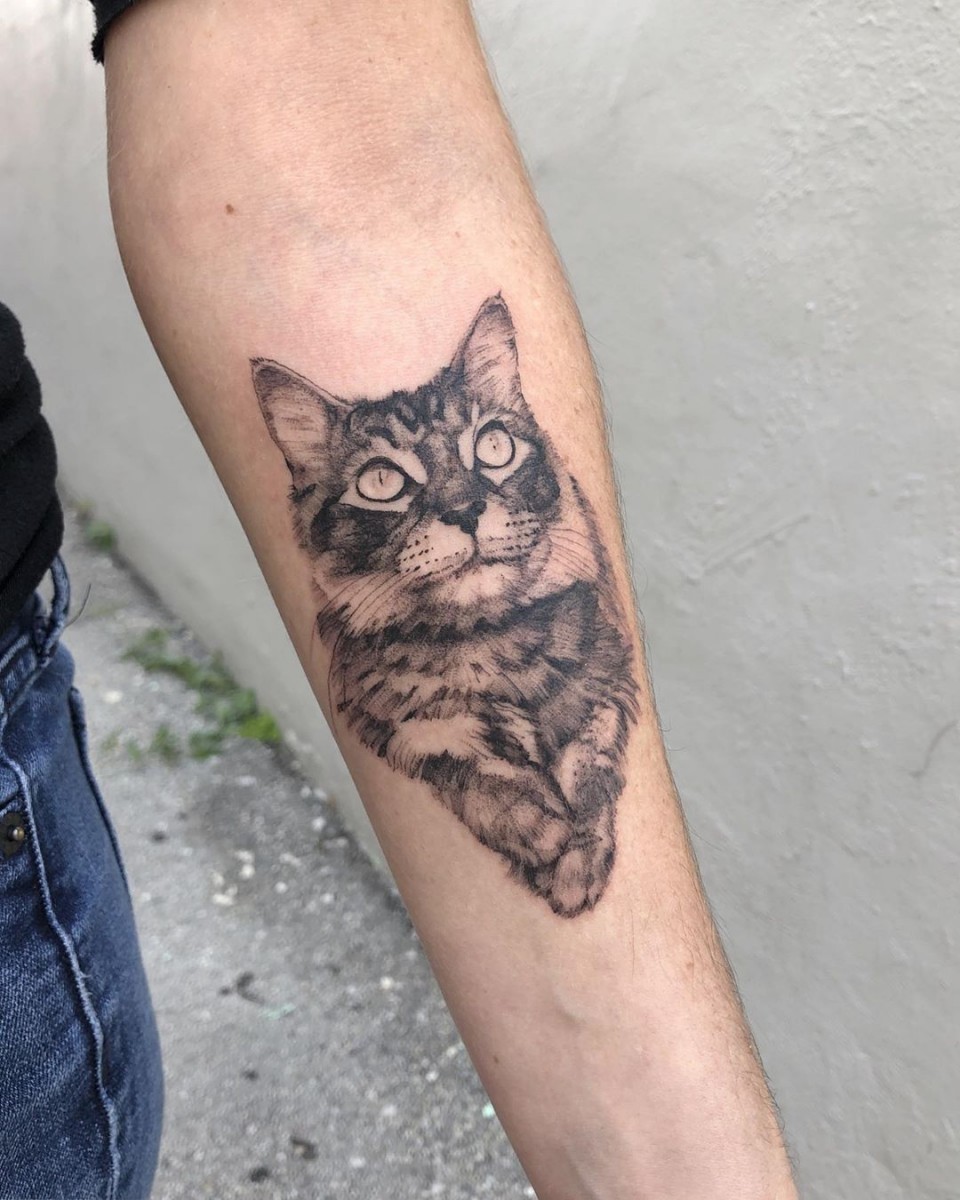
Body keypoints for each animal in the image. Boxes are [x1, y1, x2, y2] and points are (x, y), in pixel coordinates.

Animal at [252, 295, 637, 916]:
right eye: (381, 482)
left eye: (494, 447)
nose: (464, 510)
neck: (491, 644)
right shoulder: (409, 735)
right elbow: (476, 778)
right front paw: (540, 833)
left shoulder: (607, 682)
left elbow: (589, 766)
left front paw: (577, 863)